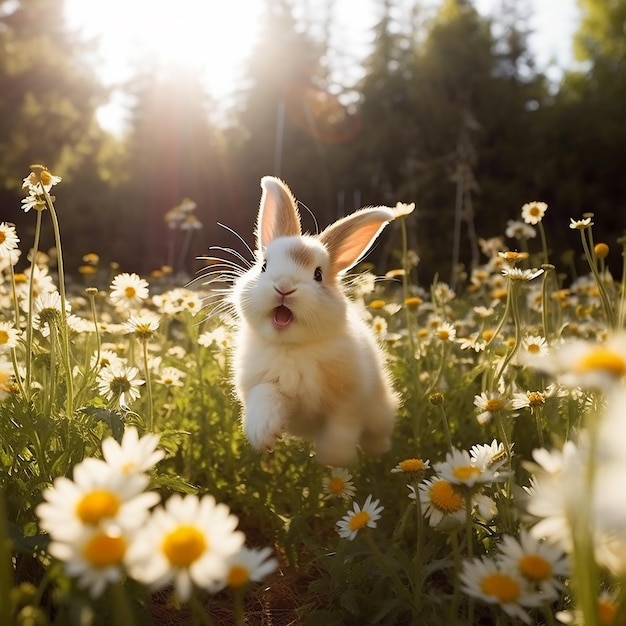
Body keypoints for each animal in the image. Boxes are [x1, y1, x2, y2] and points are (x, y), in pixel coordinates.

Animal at [229, 174, 410, 464]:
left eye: (318, 275)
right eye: (264, 266)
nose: (284, 287)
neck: (292, 348)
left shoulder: (347, 403)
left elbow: (340, 431)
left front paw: (334, 463)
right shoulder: (263, 385)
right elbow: (265, 398)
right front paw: (264, 436)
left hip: (380, 413)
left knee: (376, 434)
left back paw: (378, 454)